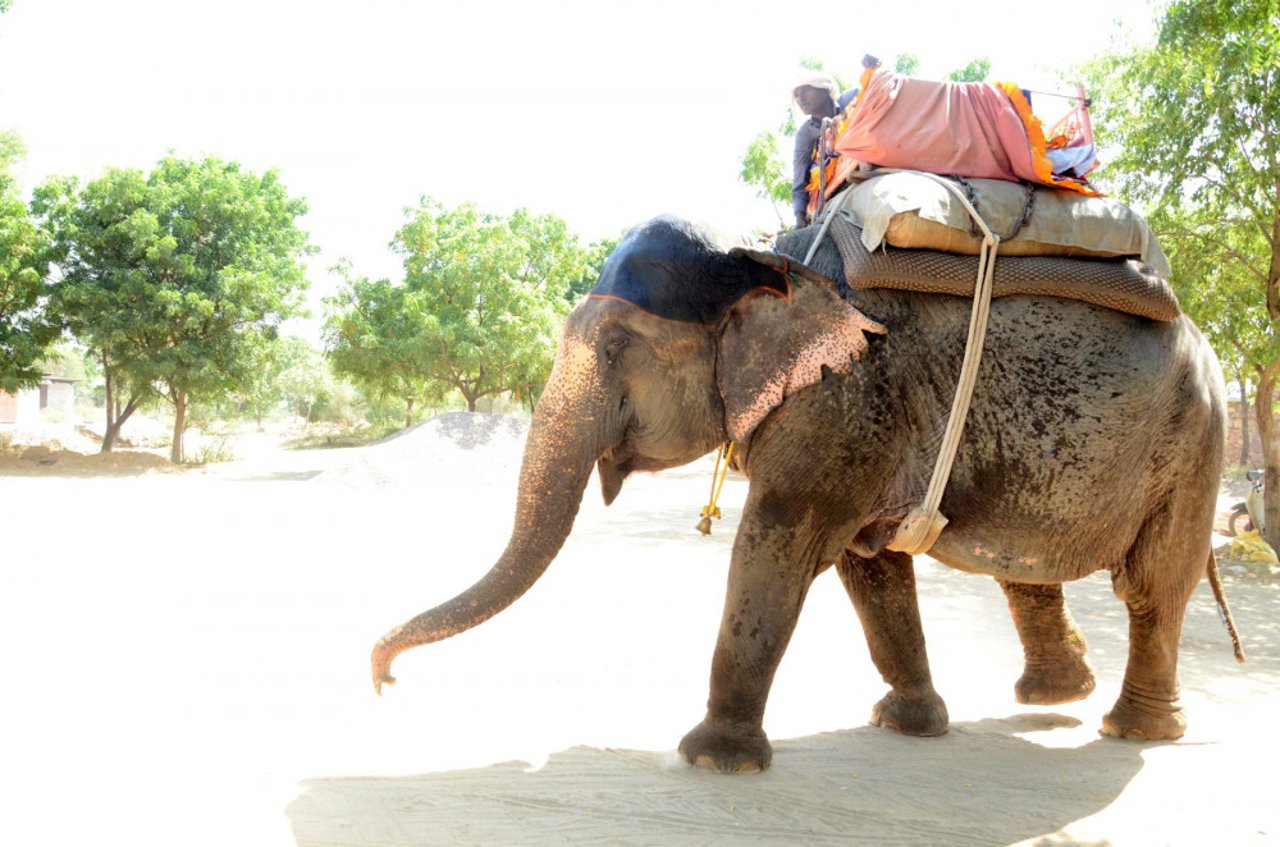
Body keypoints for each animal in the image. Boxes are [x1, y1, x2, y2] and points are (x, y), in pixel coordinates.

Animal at [371, 213, 1228, 777]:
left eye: (614, 347)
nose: (383, 678)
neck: (762, 260)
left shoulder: (843, 402)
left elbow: (778, 546)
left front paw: (714, 761)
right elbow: (869, 567)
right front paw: (909, 724)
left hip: (1194, 442)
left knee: (1151, 584)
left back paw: (1137, 730)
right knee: (1023, 567)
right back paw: (1059, 693)